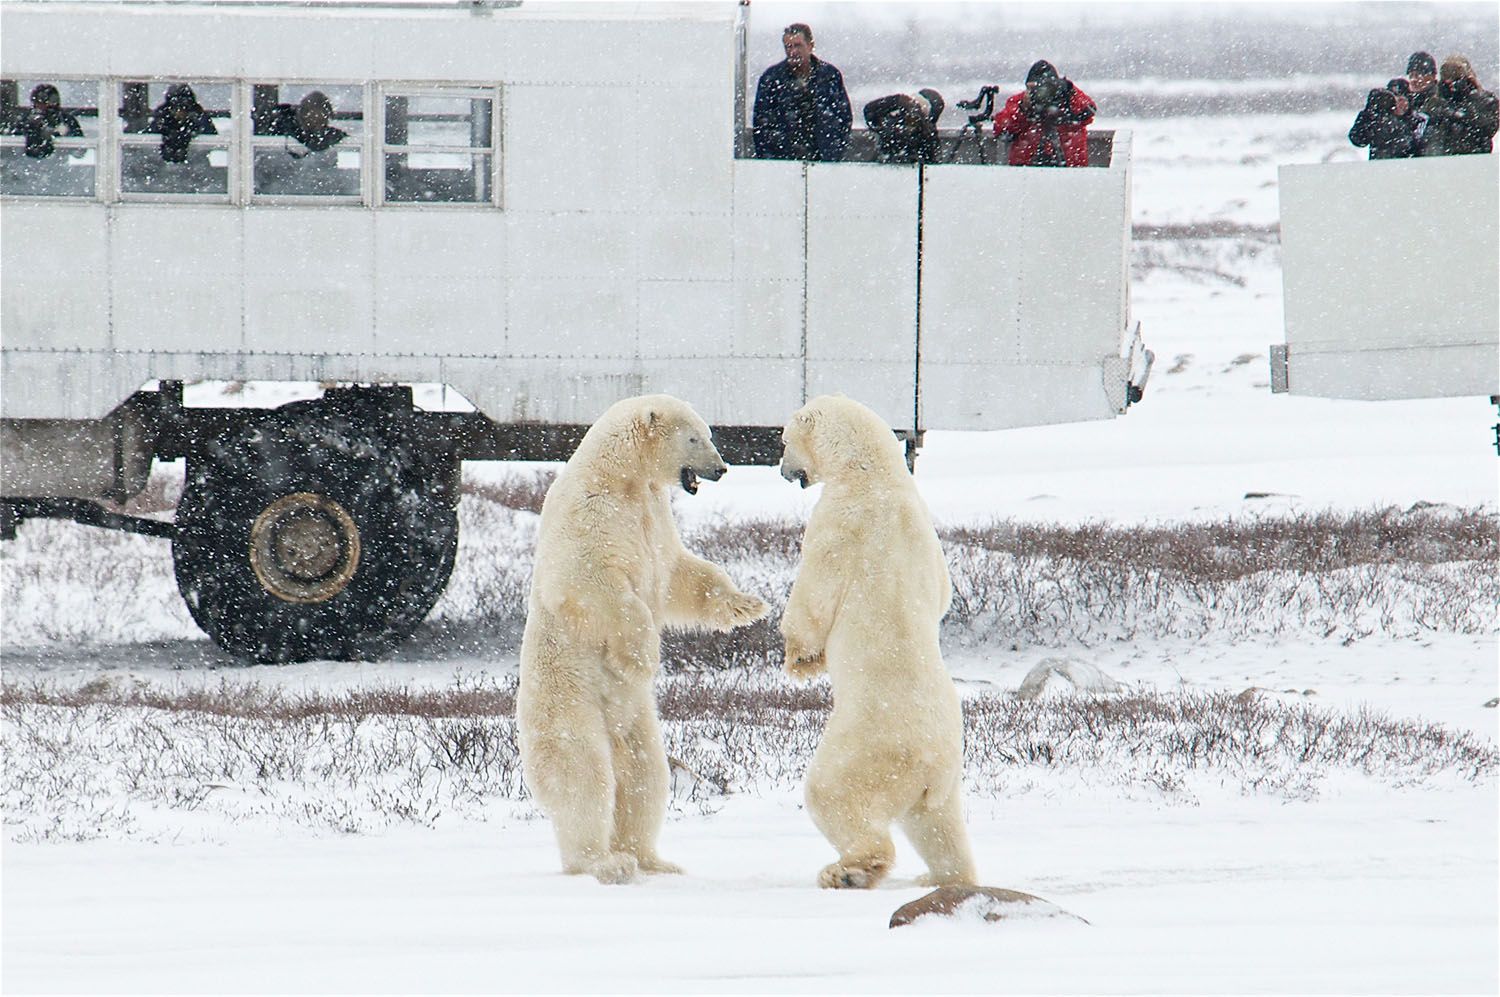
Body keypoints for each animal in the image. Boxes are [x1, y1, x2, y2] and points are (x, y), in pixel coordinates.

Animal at [519, 392, 774, 881]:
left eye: (709, 433)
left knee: (645, 778)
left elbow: (680, 572)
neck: (620, 477)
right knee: (585, 776)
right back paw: (604, 862)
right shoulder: (589, 514)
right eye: (695, 437)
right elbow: (590, 581)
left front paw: (746, 604)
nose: (722, 468)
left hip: (638, 721)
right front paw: (640, 657)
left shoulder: (653, 515)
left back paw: (654, 860)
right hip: (570, 705)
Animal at [780, 392, 978, 887]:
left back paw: (849, 869)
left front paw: (800, 660)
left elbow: (812, 598)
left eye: (784, 440)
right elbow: (943, 593)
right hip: (946, 776)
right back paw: (943, 877)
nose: (783, 469)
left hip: (867, 748)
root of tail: (930, 761)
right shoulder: (927, 536)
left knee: (832, 793)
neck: (874, 474)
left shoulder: (837, 523)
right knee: (939, 826)